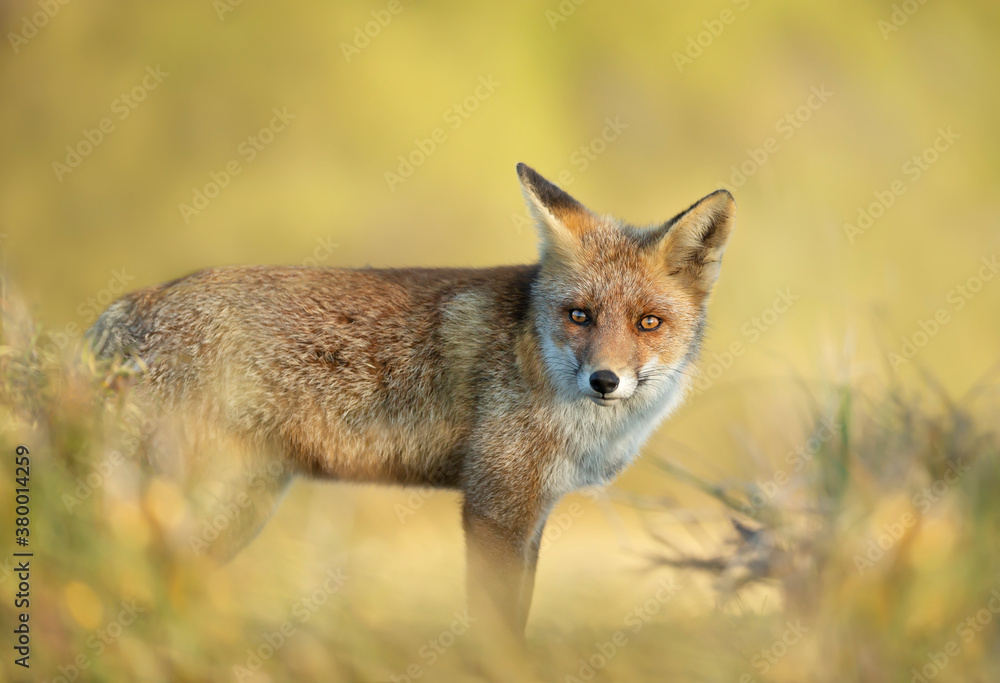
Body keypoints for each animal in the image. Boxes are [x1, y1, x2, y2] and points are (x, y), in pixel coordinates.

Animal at [88, 164, 736, 636]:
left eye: (648, 323)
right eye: (580, 316)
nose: (605, 380)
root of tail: (133, 302)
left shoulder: (532, 515)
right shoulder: (495, 508)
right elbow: (496, 634)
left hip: (233, 509)